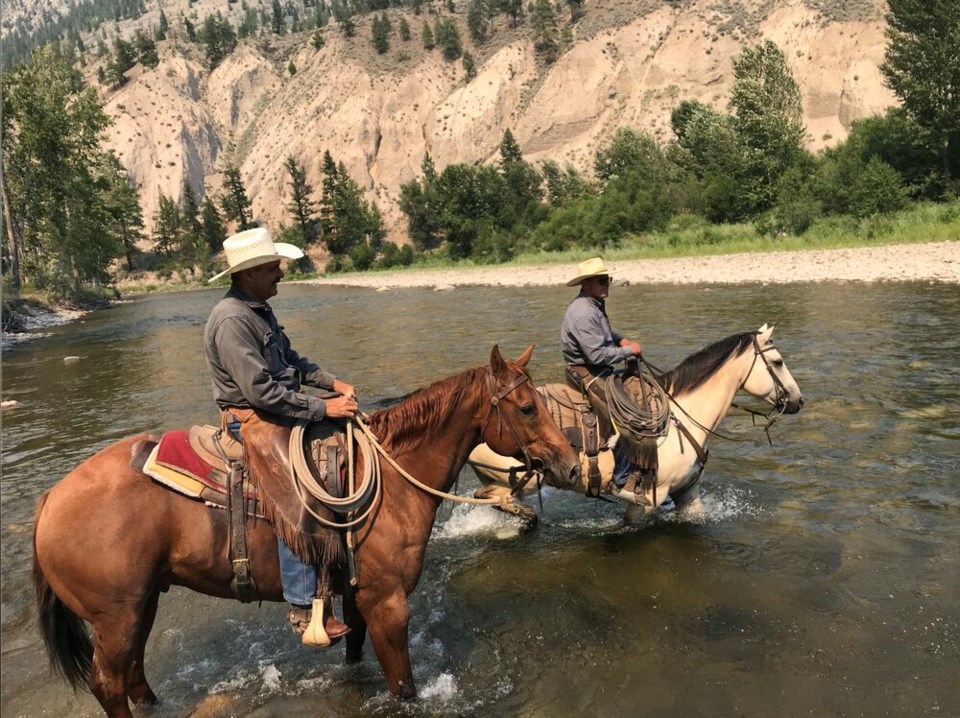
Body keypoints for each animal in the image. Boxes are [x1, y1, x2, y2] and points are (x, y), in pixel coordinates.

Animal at [33, 346, 580, 716]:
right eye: (527, 407)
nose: (572, 465)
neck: (393, 482)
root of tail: (51, 500)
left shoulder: (358, 597)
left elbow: (356, 658)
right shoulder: (389, 603)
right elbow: (404, 687)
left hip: (139, 605)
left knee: (133, 674)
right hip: (115, 616)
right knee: (109, 683)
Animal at [466, 324, 804, 524]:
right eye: (778, 362)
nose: (798, 400)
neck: (682, 420)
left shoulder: (687, 492)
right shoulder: (649, 499)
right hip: (516, 478)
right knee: (489, 497)